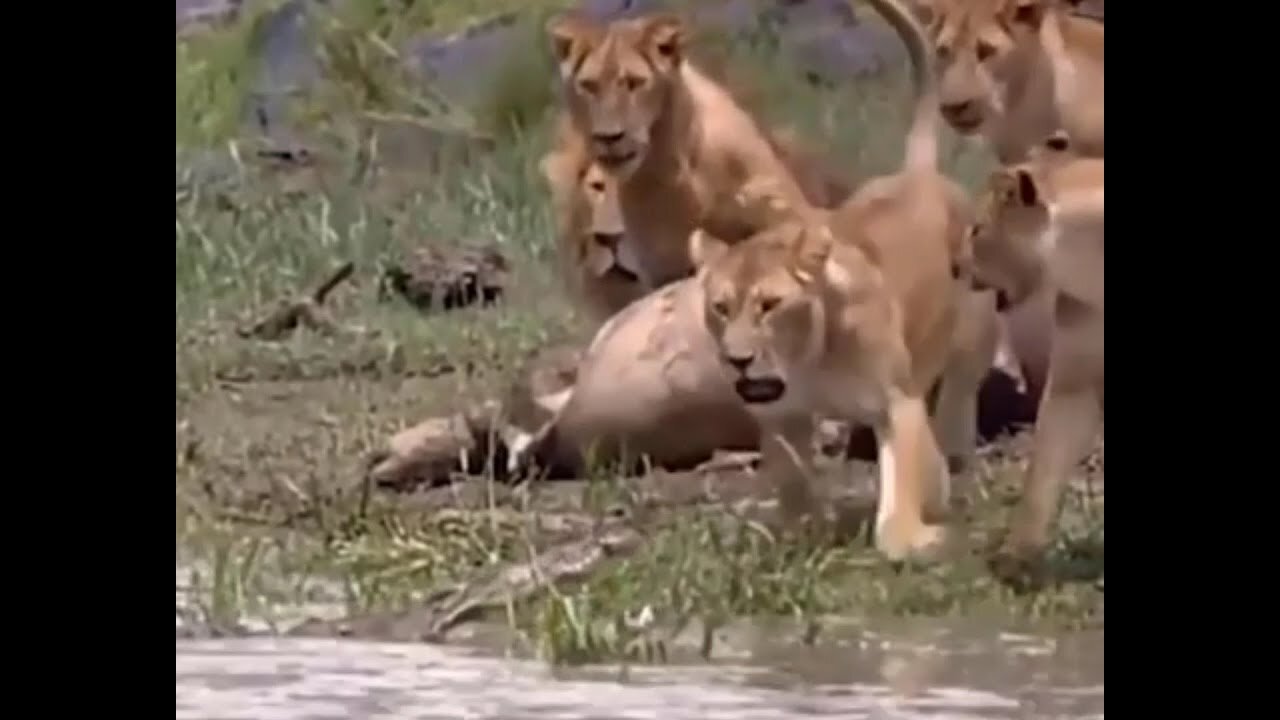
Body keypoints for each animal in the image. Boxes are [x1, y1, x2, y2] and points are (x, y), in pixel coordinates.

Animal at [689, 0, 1000, 561]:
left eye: (770, 304)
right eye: (720, 308)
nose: (738, 359)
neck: (810, 358)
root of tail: (918, 174)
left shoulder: (897, 403)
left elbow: (896, 507)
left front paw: (916, 535)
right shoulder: (781, 418)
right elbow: (792, 484)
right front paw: (799, 534)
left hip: (971, 343)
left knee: (955, 408)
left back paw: (950, 473)